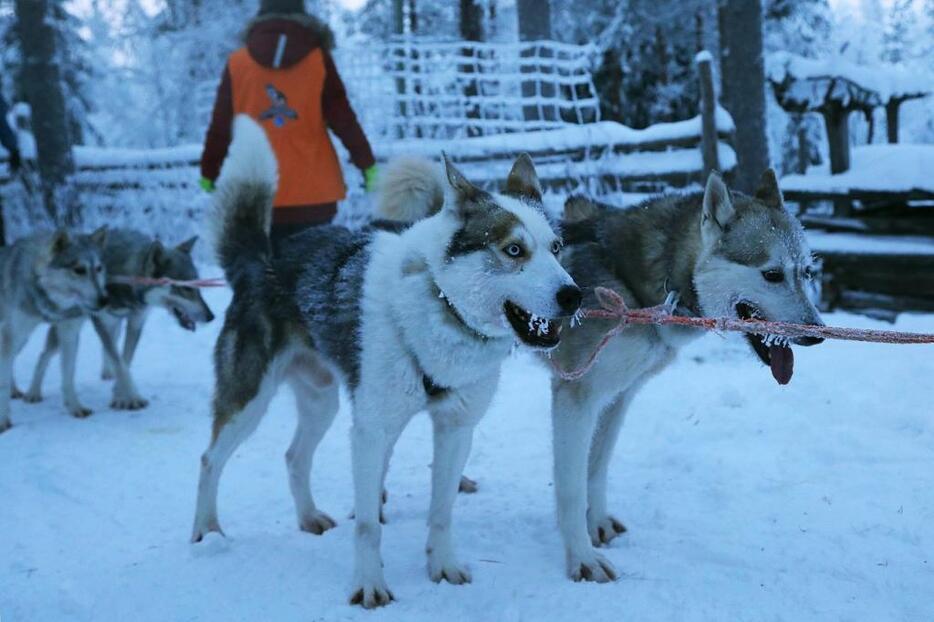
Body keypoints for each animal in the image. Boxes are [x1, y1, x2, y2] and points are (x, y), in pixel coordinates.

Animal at [0, 227, 109, 432]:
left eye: (98, 268)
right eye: (79, 270)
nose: (105, 300)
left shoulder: (69, 333)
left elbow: (68, 376)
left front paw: (75, 408)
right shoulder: (12, 334)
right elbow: (2, 383)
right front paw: (3, 421)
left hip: (24, 340)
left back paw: (21, 392)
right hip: (15, 338)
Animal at [22, 229, 216, 410]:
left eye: (198, 286)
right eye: (185, 289)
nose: (211, 316)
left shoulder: (136, 322)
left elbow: (125, 360)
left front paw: (119, 395)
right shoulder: (103, 323)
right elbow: (120, 363)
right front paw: (130, 397)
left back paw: (107, 373)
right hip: (68, 330)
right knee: (44, 355)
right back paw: (33, 393)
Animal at [191, 117, 580, 608]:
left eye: (557, 246)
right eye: (513, 250)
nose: (573, 296)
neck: (441, 302)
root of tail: (261, 261)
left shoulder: (456, 428)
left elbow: (441, 509)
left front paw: (442, 567)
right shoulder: (371, 431)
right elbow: (366, 526)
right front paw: (368, 585)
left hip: (323, 402)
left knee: (295, 456)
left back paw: (308, 517)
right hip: (250, 400)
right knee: (210, 459)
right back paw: (206, 532)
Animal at [548, 172, 828, 584]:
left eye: (806, 272)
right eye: (772, 275)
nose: (816, 333)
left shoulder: (617, 397)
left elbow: (596, 468)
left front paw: (596, 524)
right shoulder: (576, 396)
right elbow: (571, 486)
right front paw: (582, 558)